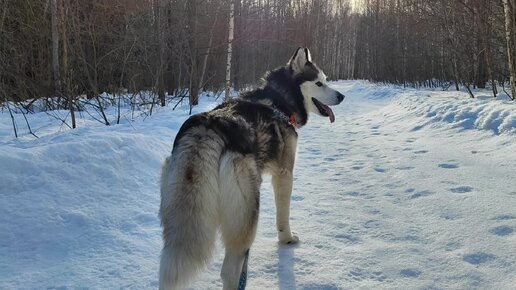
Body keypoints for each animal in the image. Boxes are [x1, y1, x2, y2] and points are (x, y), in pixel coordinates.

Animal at [159, 46, 344, 288]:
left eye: (326, 80)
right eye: (319, 83)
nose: (341, 96)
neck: (280, 102)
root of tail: (209, 128)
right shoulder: (284, 174)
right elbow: (283, 215)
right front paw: (287, 239)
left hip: (177, 218)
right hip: (246, 211)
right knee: (230, 270)